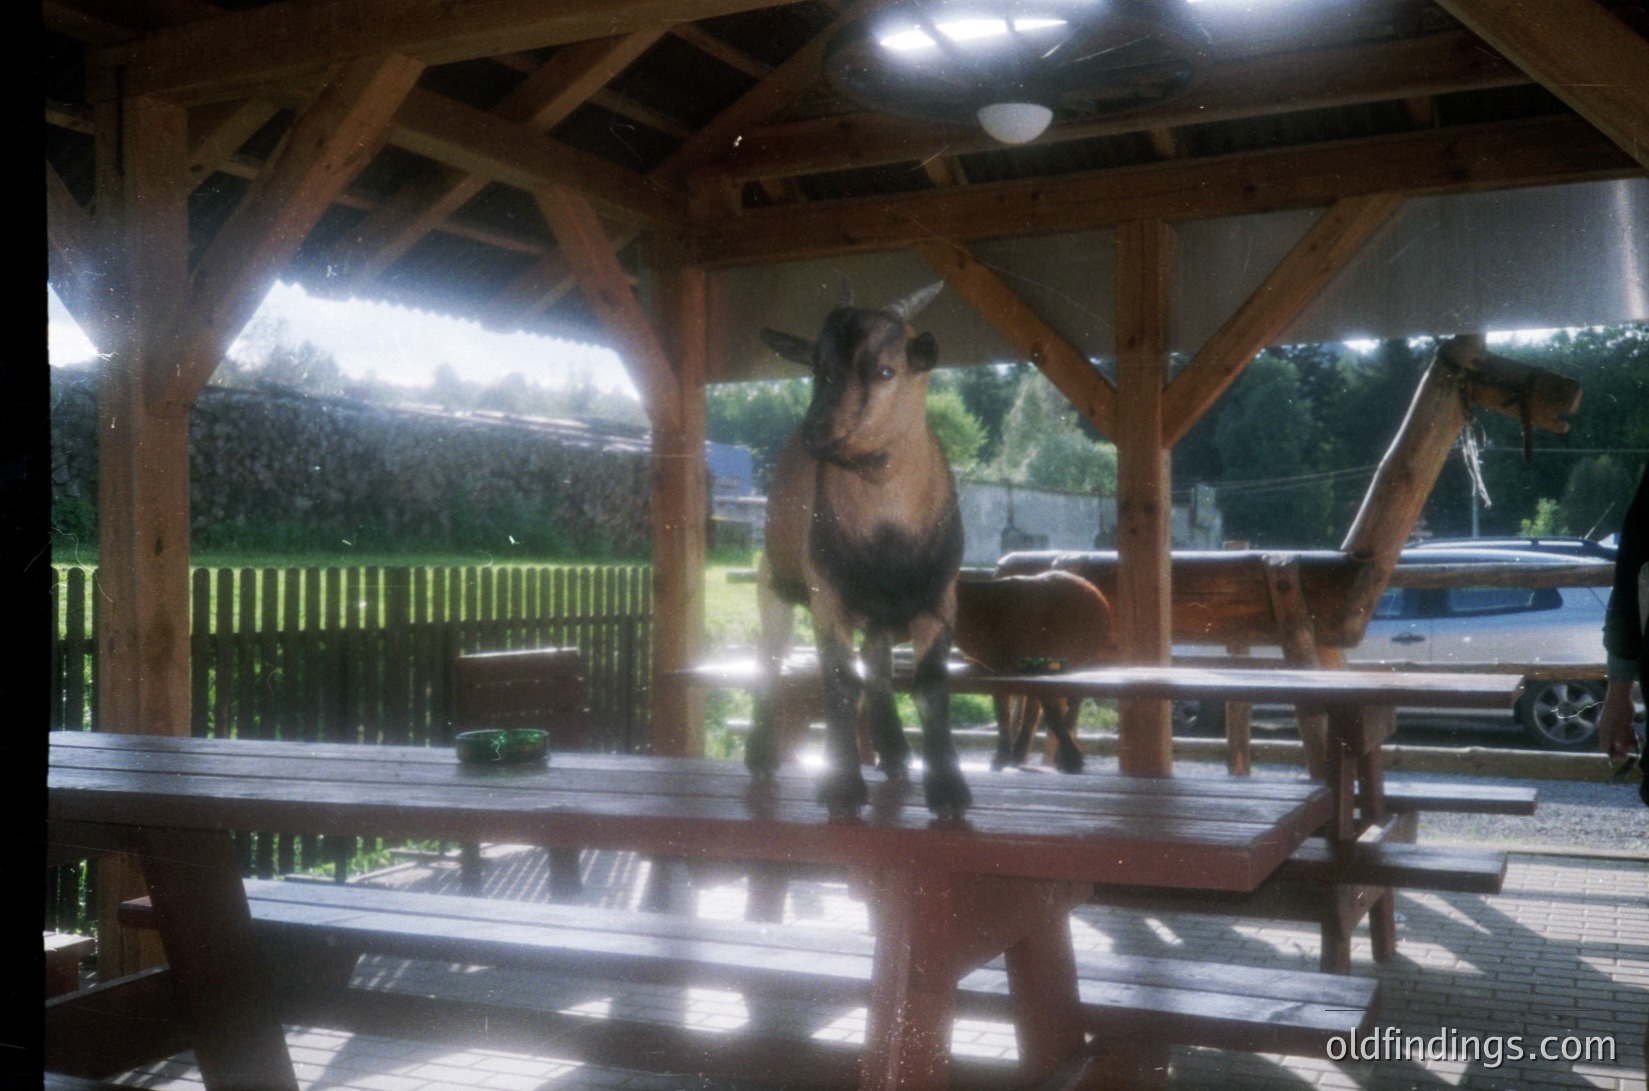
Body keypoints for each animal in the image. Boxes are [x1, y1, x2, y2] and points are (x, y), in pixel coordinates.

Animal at [748, 282, 969, 819]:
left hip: (880, 614)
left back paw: (895, 753)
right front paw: (842, 785)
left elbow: (930, 683)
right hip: (775, 584)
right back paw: (761, 755)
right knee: (770, 657)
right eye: (817, 367)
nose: (816, 432)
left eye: (887, 370)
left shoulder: (940, 599)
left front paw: (949, 790)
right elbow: (839, 680)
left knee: (880, 668)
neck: (888, 536)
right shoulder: (827, 597)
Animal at [954, 572, 1115, 773]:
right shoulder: (995, 673)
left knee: (1069, 705)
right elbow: (1003, 716)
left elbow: (1052, 713)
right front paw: (1000, 759)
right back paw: (1019, 755)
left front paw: (1071, 760)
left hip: (1075, 663)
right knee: (1036, 709)